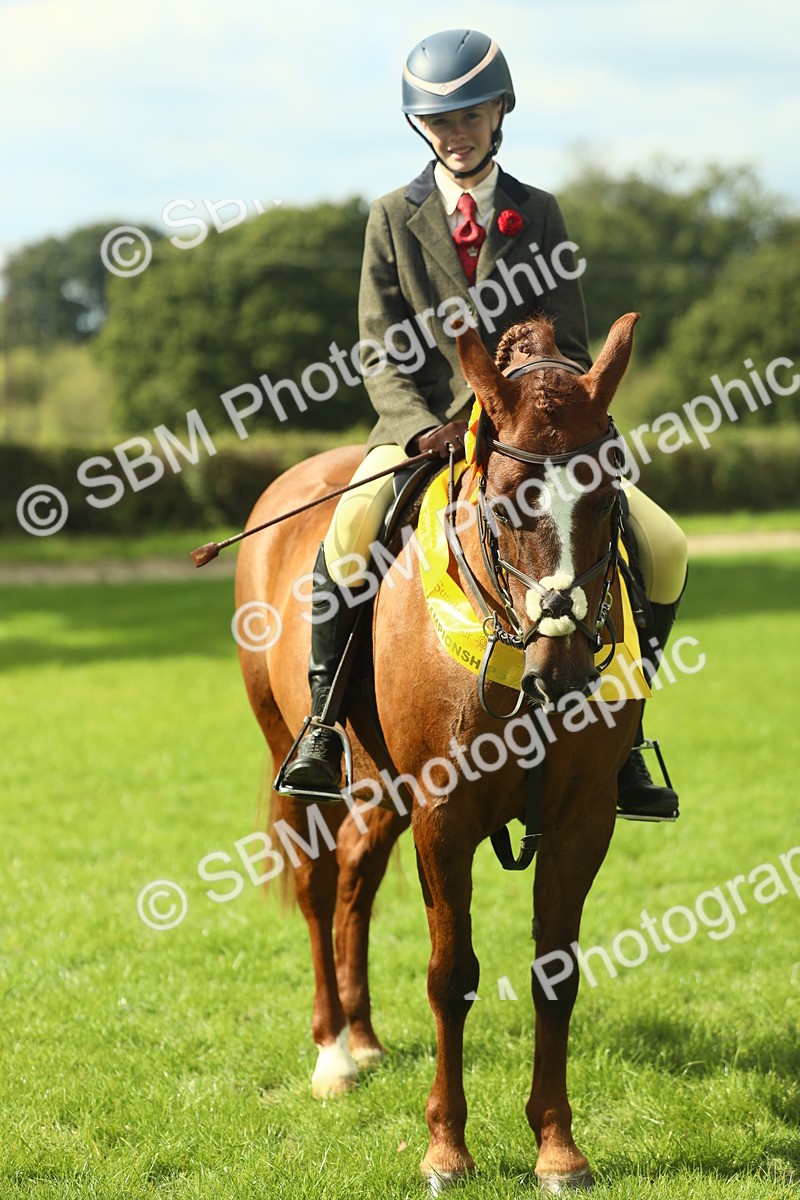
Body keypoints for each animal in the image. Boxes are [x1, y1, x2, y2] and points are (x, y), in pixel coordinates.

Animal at [234, 312, 642, 1193]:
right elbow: (451, 975)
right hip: (300, 756)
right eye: (506, 500)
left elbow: (557, 972)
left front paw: (557, 1148)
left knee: (357, 878)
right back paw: (334, 1052)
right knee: (320, 885)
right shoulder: (445, 814)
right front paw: (446, 1149)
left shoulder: (583, 818)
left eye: (608, 493)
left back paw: (363, 1036)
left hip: (384, 789)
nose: (563, 671)